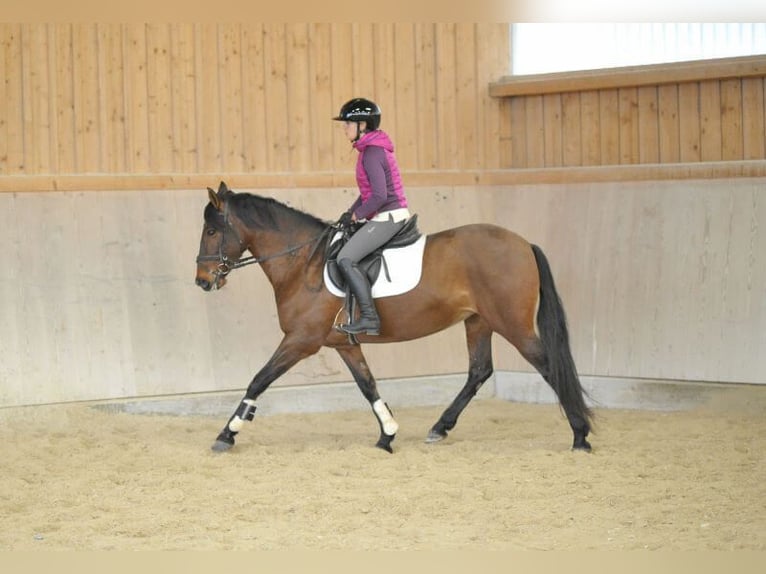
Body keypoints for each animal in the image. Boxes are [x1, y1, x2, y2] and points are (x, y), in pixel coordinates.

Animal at [196, 182, 592, 456]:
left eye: (212, 231)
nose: (202, 281)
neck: (303, 263)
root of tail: (524, 244)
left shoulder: (301, 341)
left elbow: (258, 381)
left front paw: (226, 434)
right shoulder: (342, 343)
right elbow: (368, 385)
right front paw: (387, 434)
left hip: (512, 324)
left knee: (547, 366)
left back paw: (580, 435)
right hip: (478, 321)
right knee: (479, 371)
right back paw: (440, 428)